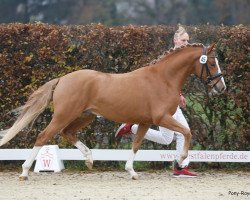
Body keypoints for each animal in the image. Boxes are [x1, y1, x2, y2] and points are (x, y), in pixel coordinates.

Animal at [0, 43, 227, 180]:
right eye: (212, 62)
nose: (221, 87)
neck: (163, 79)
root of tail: (63, 79)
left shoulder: (145, 122)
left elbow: (136, 144)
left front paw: (132, 171)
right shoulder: (162, 118)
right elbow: (187, 133)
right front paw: (179, 160)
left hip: (85, 116)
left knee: (67, 132)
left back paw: (89, 158)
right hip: (64, 115)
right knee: (43, 136)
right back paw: (24, 172)